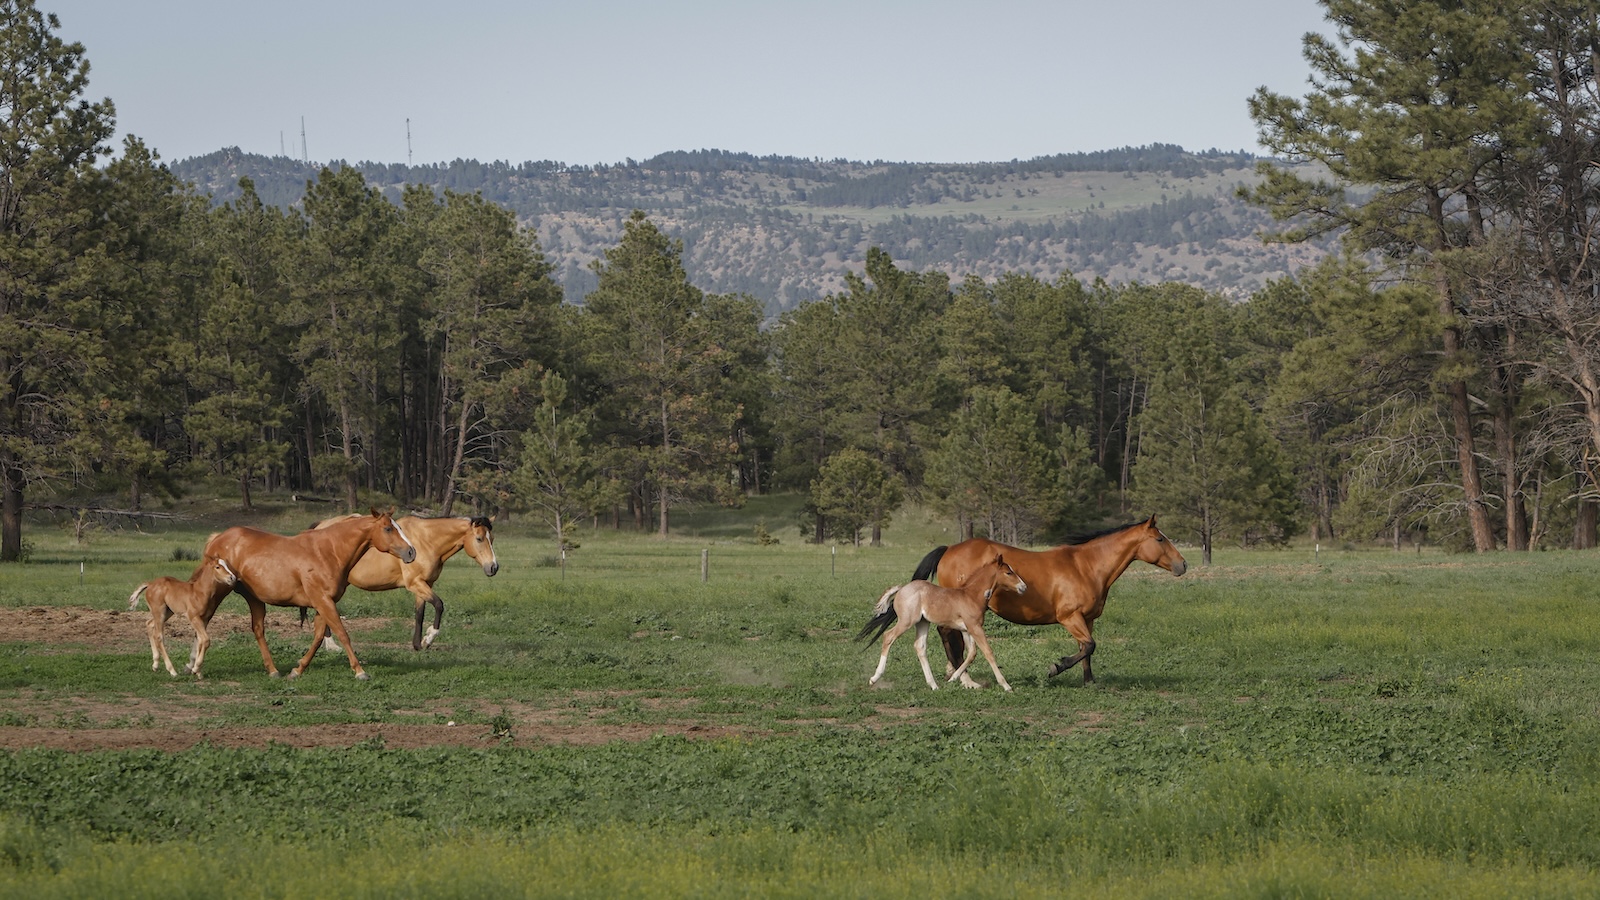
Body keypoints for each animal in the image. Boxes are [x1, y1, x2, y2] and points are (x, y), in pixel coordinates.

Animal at [200, 509, 417, 680]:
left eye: (398, 527)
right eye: (388, 528)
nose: (411, 552)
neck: (328, 552)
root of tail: (217, 538)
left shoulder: (323, 603)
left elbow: (319, 637)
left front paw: (297, 670)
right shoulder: (323, 601)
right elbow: (342, 633)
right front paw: (360, 671)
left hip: (254, 599)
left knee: (258, 629)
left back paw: (273, 670)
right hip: (217, 592)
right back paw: (195, 667)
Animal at [306, 514, 498, 650]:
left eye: (492, 539)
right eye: (479, 539)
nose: (494, 567)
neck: (426, 540)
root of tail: (321, 526)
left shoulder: (425, 584)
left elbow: (419, 613)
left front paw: (418, 644)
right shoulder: (415, 583)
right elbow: (439, 605)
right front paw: (428, 638)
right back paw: (331, 645)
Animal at [857, 554, 1029, 691]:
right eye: (1008, 572)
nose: (1023, 587)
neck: (971, 596)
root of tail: (901, 589)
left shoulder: (967, 629)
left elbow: (972, 653)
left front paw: (954, 678)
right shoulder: (975, 627)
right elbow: (988, 652)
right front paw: (1006, 685)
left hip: (923, 623)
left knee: (920, 647)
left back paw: (933, 685)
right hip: (907, 621)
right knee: (888, 636)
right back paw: (874, 678)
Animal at [912, 516, 1187, 686]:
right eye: (1160, 539)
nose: (1183, 565)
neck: (1086, 567)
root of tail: (949, 549)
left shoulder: (1087, 619)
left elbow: (1086, 649)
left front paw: (1089, 681)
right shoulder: (1069, 617)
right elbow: (1089, 646)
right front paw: (1056, 667)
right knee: (948, 636)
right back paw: (962, 676)